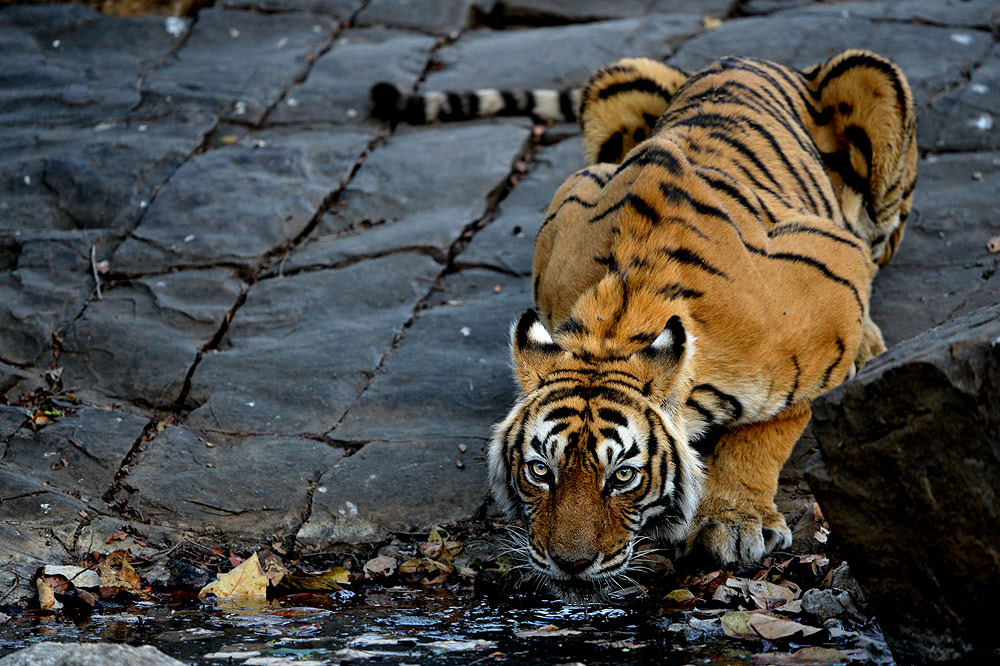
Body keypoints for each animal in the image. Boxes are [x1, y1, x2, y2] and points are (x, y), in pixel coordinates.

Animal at [372, 50, 917, 599]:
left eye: (623, 476)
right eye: (540, 471)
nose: (570, 563)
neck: (615, 322)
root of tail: (751, 59)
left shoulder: (832, 279)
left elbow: (773, 424)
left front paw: (733, 521)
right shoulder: (572, 200)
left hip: (875, 86)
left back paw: (871, 344)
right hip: (617, 84)